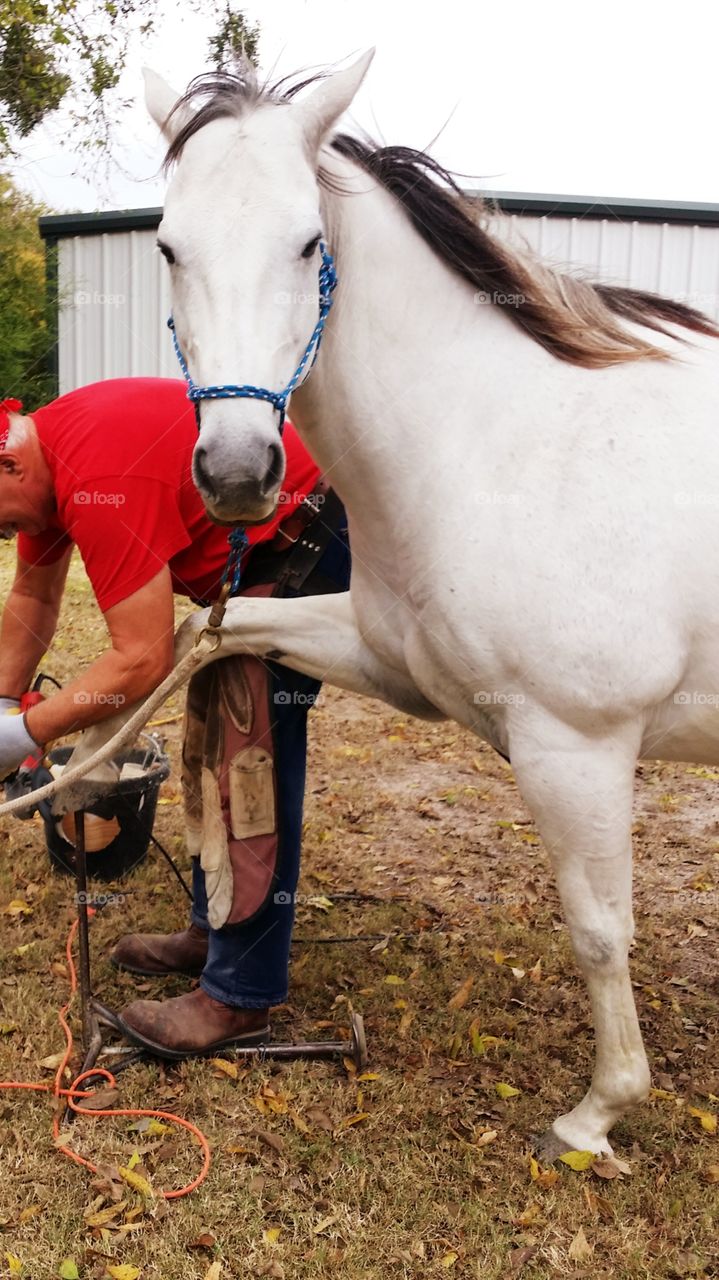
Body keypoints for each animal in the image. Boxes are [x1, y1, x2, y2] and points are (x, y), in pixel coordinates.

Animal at [72, 55, 719, 1162]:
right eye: (167, 246)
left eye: (307, 242)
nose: (238, 473)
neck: (495, 445)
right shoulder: (383, 658)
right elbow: (208, 649)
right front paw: (170, 835)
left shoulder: (577, 746)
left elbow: (599, 931)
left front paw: (596, 1113)